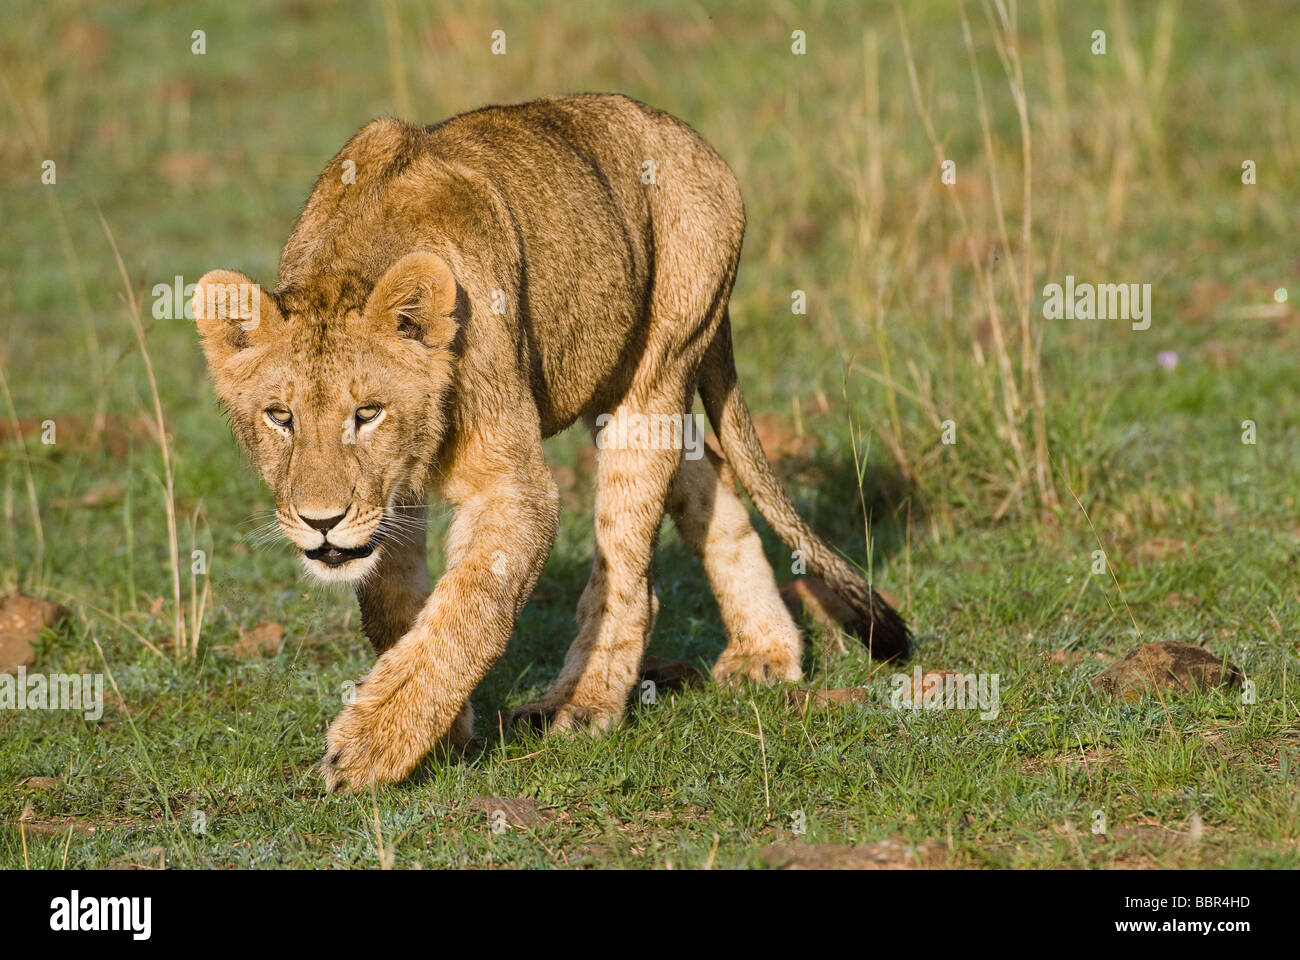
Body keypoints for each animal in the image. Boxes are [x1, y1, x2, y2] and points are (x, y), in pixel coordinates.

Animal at [192, 93, 910, 793]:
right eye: (279, 417)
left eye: (367, 414)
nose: (321, 521)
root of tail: (688, 135)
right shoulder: (389, 500)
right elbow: (394, 607)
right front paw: (442, 730)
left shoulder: (510, 483)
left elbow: (470, 609)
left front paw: (372, 745)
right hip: (622, 390)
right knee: (712, 489)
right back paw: (767, 651)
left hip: (658, 370)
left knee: (628, 572)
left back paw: (580, 705)